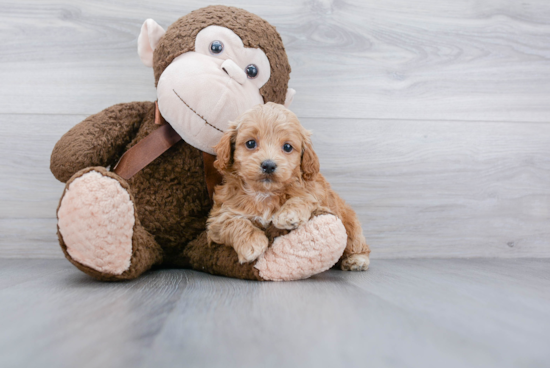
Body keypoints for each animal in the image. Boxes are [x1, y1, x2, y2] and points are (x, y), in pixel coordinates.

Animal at [207, 102, 370, 272]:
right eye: (250, 143)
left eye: (287, 147)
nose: (269, 165)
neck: (264, 193)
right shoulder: (219, 218)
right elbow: (234, 222)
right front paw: (252, 244)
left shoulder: (316, 196)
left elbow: (302, 198)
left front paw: (288, 215)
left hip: (350, 223)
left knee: (356, 243)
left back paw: (356, 260)